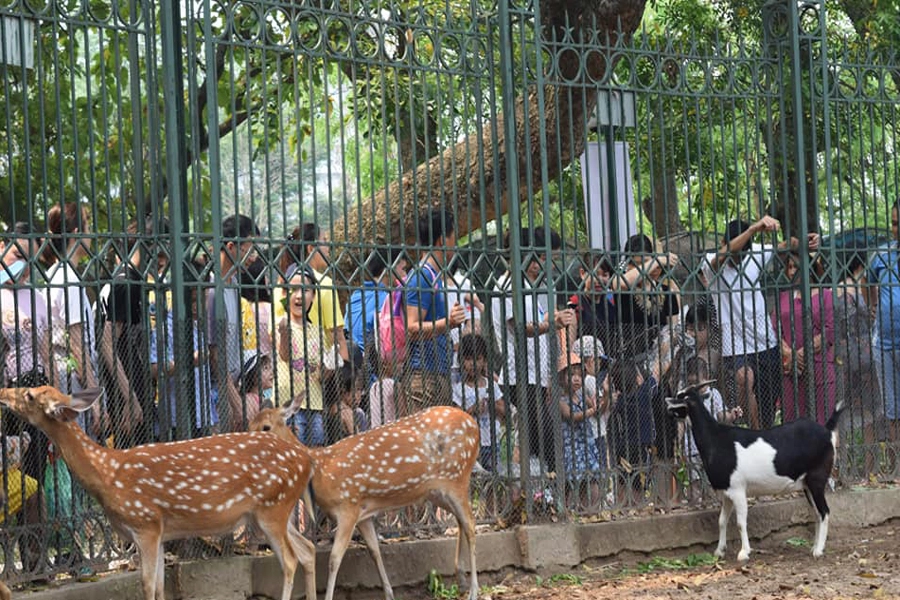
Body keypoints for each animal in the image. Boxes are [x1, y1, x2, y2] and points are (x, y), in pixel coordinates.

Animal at [0, 384, 316, 600]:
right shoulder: (162, 532)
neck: (107, 476)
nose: (3, 392)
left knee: (290, 560)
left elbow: (147, 586)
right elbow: (161, 587)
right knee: (307, 549)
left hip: (272, 507)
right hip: (276, 511)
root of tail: (307, 460)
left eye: (29, 395)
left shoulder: (145, 524)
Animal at [250, 404, 482, 600]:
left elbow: (335, 559)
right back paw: (461, 577)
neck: (322, 469)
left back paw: (473, 590)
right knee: (460, 521)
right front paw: (389, 594)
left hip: (457, 478)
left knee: (470, 524)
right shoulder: (363, 513)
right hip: (436, 491)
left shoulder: (348, 506)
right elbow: (374, 551)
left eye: (266, 427)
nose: (251, 443)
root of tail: (475, 424)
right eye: (250, 424)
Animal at [668, 382, 844, 560]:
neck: (716, 439)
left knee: (824, 512)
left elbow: (740, 523)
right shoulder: (727, 493)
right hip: (807, 484)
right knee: (817, 513)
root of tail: (827, 430)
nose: (667, 401)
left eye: (681, 397)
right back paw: (814, 546)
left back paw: (818, 550)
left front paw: (744, 552)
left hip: (817, 479)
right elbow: (722, 521)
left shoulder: (738, 490)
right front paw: (719, 551)